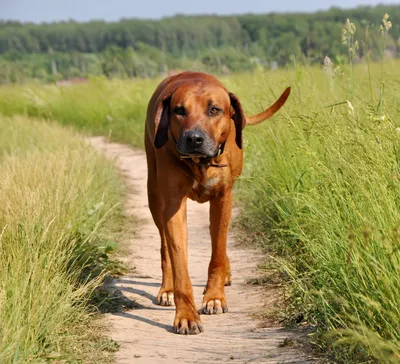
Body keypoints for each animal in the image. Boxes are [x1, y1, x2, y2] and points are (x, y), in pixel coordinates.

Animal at [145, 72, 290, 336]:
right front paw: (186, 315)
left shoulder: (224, 198)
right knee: (164, 246)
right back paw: (167, 289)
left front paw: (214, 297)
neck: (201, 163)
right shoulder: (173, 204)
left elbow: (218, 251)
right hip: (154, 195)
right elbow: (179, 260)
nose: (194, 138)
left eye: (214, 110)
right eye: (179, 110)